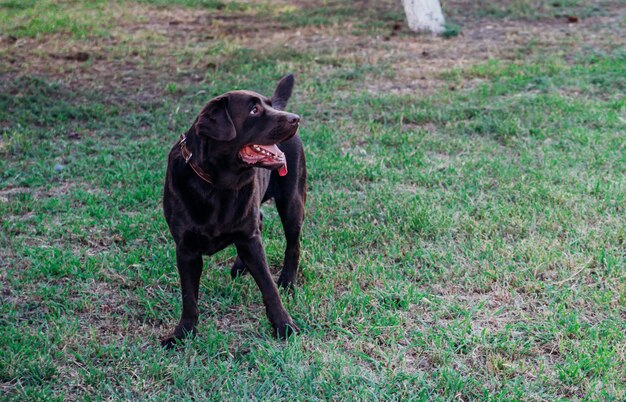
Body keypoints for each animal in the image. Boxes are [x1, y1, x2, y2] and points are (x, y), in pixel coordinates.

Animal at [160, 74, 304, 348]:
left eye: (268, 105)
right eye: (254, 110)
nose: (296, 118)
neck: (217, 185)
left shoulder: (249, 237)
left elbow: (268, 287)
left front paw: (284, 326)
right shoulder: (185, 249)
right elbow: (189, 297)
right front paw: (183, 334)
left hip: (292, 202)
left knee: (293, 244)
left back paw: (287, 281)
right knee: (260, 219)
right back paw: (241, 266)